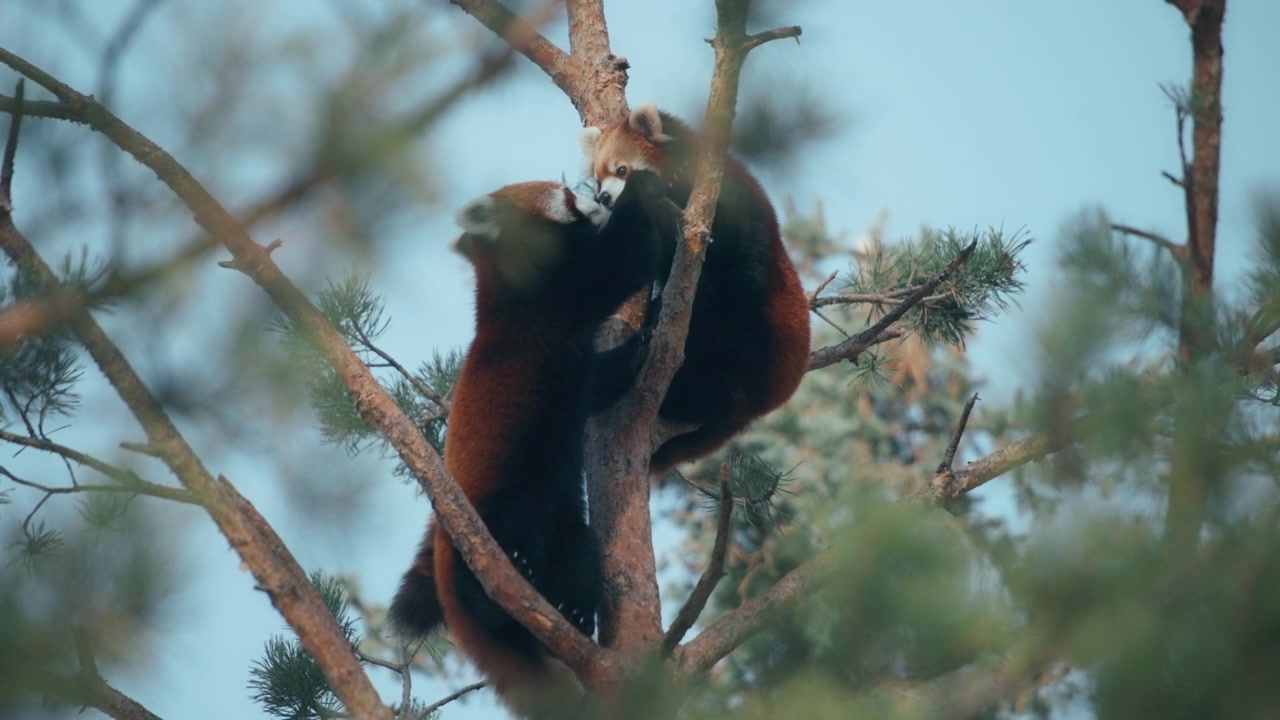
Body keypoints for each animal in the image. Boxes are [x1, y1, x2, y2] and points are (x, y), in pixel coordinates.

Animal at [389, 172, 673, 719]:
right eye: (567, 195)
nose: (599, 197)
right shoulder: (552, 307)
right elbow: (622, 261)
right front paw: (642, 188)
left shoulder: (578, 366)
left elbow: (604, 380)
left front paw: (644, 339)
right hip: (491, 511)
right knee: (495, 548)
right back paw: (503, 580)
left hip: (563, 524)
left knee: (579, 550)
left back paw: (572, 610)